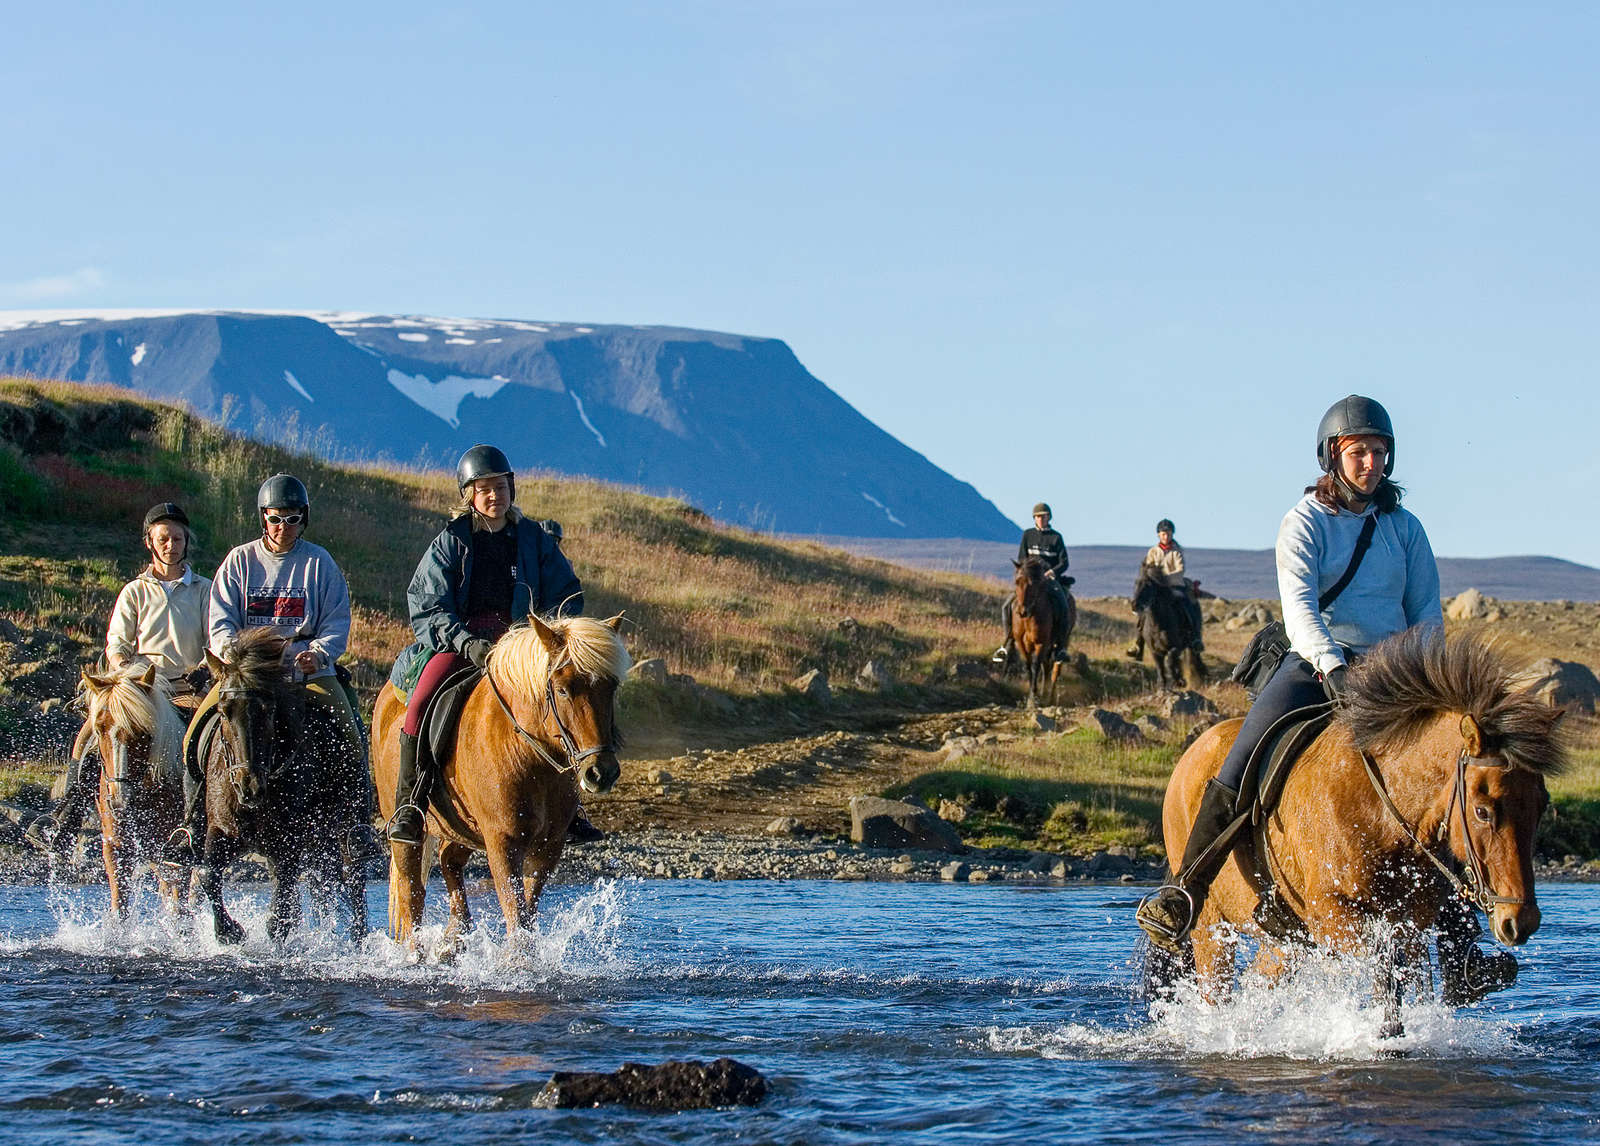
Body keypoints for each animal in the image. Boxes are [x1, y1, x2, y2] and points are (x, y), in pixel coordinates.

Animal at [76, 662, 187, 915]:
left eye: (143, 732)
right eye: (99, 729)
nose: (119, 801)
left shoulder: (178, 852)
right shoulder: (117, 847)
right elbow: (120, 907)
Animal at [193, 630, 368, 947]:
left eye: (269, 710)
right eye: (224, 712)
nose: (249, 786)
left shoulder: (287, 844)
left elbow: (279, 915)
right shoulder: (222, 829)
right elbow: (208, 875)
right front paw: (229, 932)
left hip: (345, 827)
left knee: (353, 877)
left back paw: (357, 938)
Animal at [371, 614, 627, 953]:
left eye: (611, 688)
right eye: (562, 690)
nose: (601, 773)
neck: (528, 753)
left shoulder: (548, 846)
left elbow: (527, 912)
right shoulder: (503, 842)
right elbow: (515, 911)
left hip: (463, 826)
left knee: (448, 860)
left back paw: (456, 936)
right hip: (407, 829)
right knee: (410, 891)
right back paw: (418, 952)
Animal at [1011, 556, 1075, 707]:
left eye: (1034, 584)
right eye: (1017, 581)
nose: (1022, 611)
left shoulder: (1041, 643)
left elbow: (1035, 666)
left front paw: (1033, 699)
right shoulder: (1021, 643)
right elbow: (1028, 666)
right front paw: (1032, 694)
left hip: (1062, 642)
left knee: (1055, 670)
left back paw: (1050, 697)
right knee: (1046, 667)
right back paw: (1044, 693)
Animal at [1145, 627, 1568, 1037]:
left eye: (1541, 804)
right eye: (1482, 811)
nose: (1521, 922)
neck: (1380, 812)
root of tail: (1192, 753)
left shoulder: (1409, 922)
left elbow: (1410, 978)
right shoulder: (1335, 916)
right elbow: (1385, 969)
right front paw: (1386, 1034)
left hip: (1284, 944)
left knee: (1257, 983)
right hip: (1212, 930)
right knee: (1216, 990)